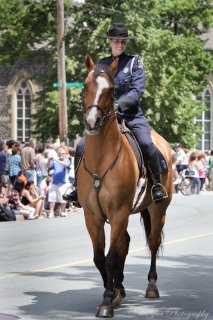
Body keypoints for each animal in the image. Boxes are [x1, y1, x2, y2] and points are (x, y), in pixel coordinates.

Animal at [76, 53, 173, 318]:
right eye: (85, 86)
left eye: (110, 90)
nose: (92, 122)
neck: (101, 159)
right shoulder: (93, 216)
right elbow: (100, 258)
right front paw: (114, 292)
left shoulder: (118, 211)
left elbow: (110, 258)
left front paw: (107, 301)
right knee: (124, 244)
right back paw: (120, 286)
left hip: (157, 209)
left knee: (152, 243)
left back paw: (151, 286)